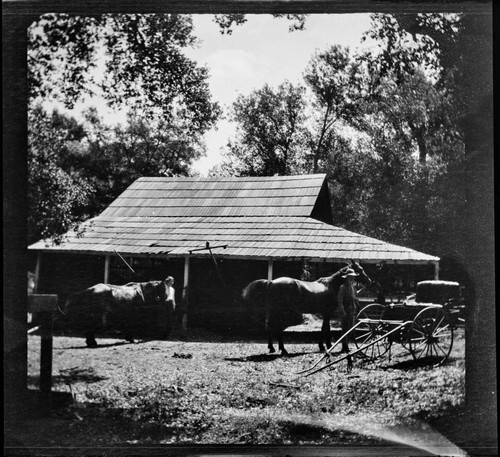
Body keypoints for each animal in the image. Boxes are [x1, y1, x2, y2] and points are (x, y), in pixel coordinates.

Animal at [242, 262, 372, 362]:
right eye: (360, 269)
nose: (369, 281)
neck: (331, 285)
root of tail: (271, 282)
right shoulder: (327, 313)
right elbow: (326, 328)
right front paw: (326, 345)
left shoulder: (325, 313)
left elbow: (324, 328)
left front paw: (324, 345)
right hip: (280, 312)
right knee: (277, 329)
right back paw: (283, 350)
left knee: (271, 327)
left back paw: (273, 348)